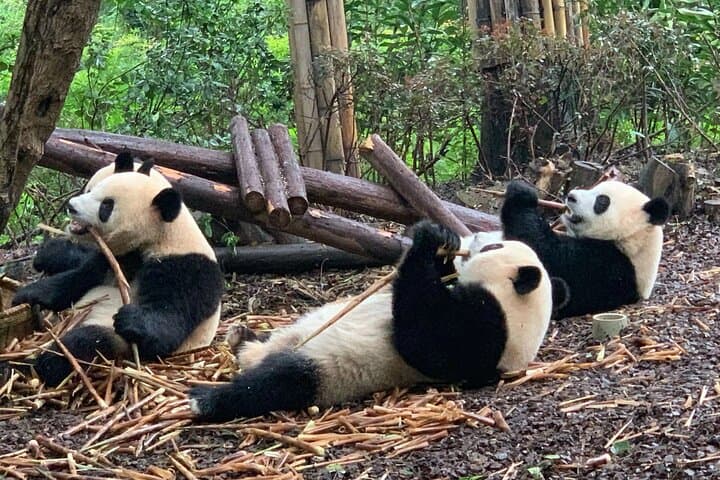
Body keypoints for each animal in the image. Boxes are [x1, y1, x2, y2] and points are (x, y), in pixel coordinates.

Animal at [12, 152, 224, 386]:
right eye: (92, 190)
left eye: (107, 206)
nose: (71, 206)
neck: (160, 236)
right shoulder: (113, 258)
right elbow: (75, 280)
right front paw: (26, 294)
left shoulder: (186, 269)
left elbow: (168, 326)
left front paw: (130, 318)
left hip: (115, 340)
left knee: (87, 340)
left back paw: (42, 364)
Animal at [189, 221, 566, 422]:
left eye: (494, 247)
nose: (474, 238)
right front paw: (442, 240)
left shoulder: (485, 333)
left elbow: (422, 338)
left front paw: (427, 240)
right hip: (295, 333)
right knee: (268, 347)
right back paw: (241, 336)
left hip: (326, 369)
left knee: (277, 382)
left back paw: (207, 399)